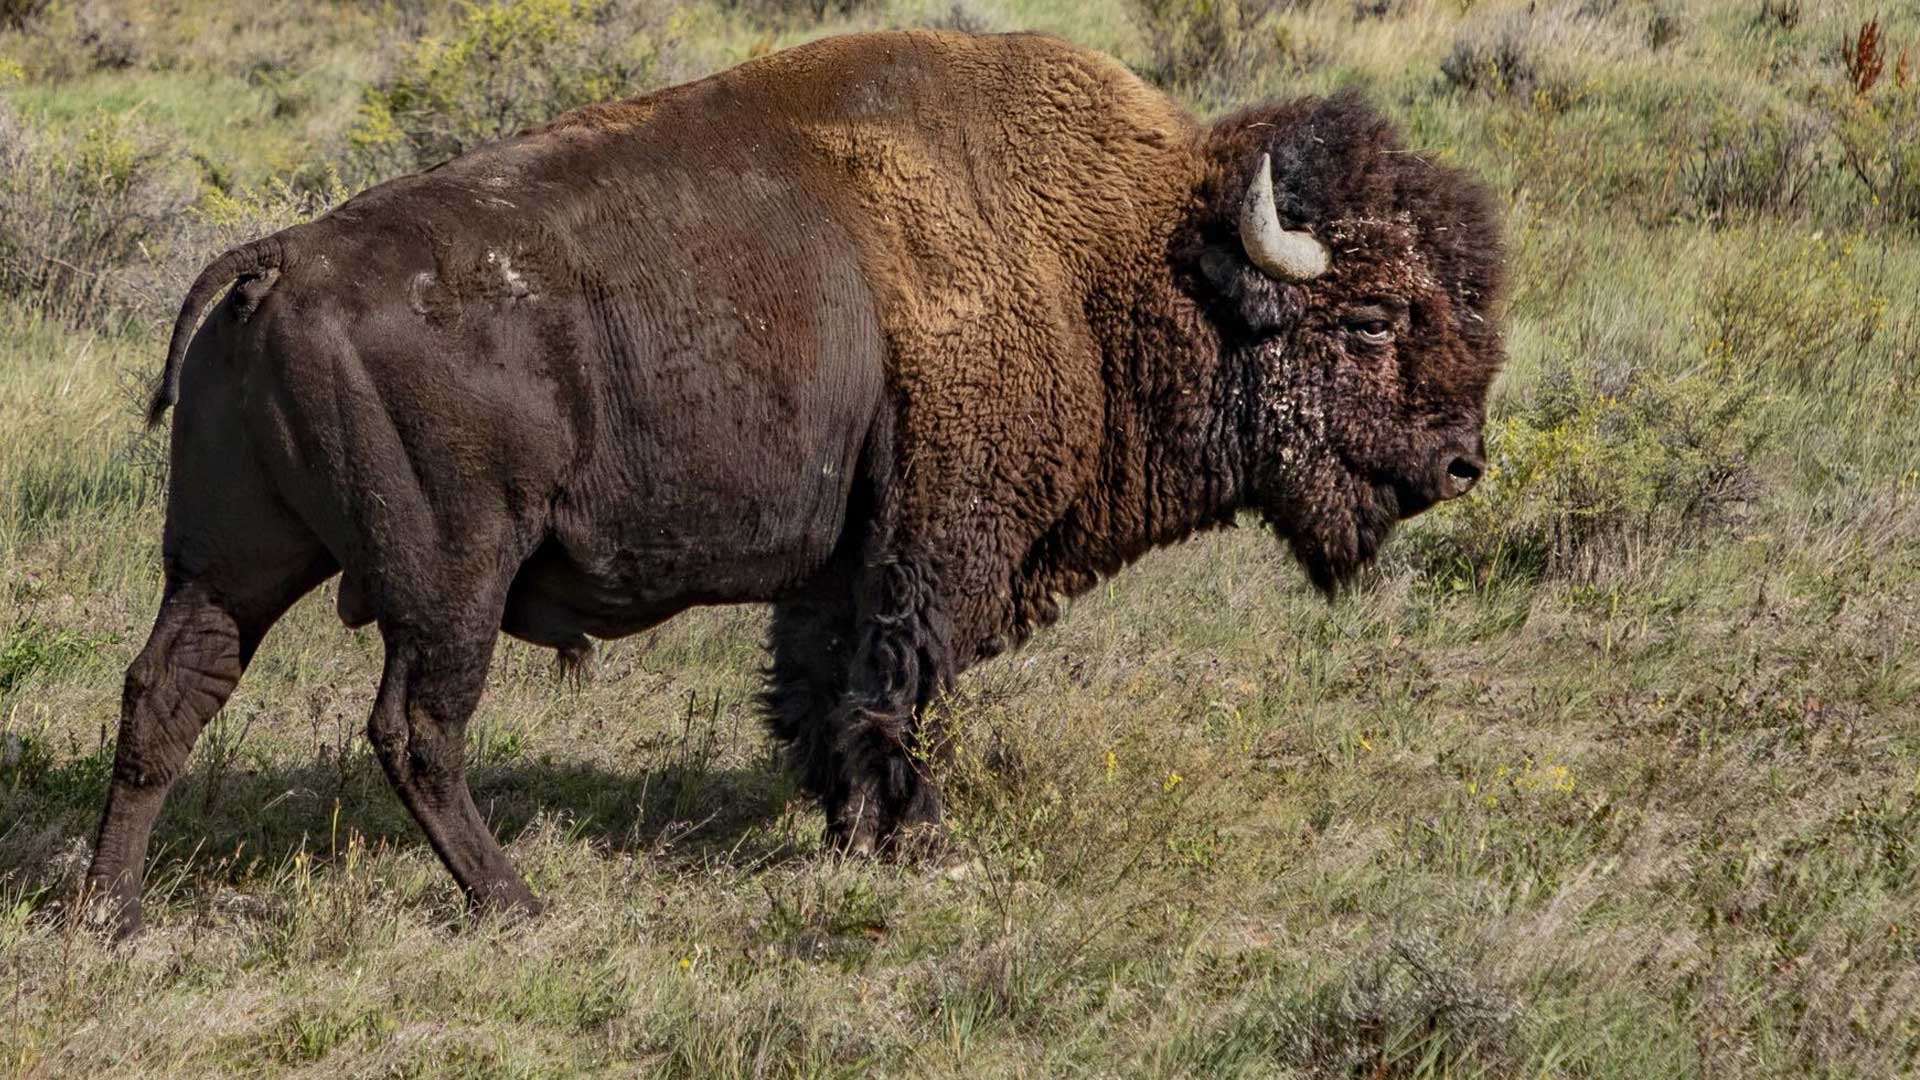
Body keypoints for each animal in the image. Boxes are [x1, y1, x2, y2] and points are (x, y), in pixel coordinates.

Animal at [85, 30, 1504, 935]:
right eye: (1370, 318)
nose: (1459, 461)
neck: (1117, 258)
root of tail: (274, 261)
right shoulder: (933, 550)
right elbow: (894, 689)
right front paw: (918, 841)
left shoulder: (838, 562)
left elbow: (823, 688)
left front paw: (845, 829)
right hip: (449, 581)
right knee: (413, 729)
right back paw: (515, 905)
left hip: (235, 559)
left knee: (166, 693)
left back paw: (110, 915)